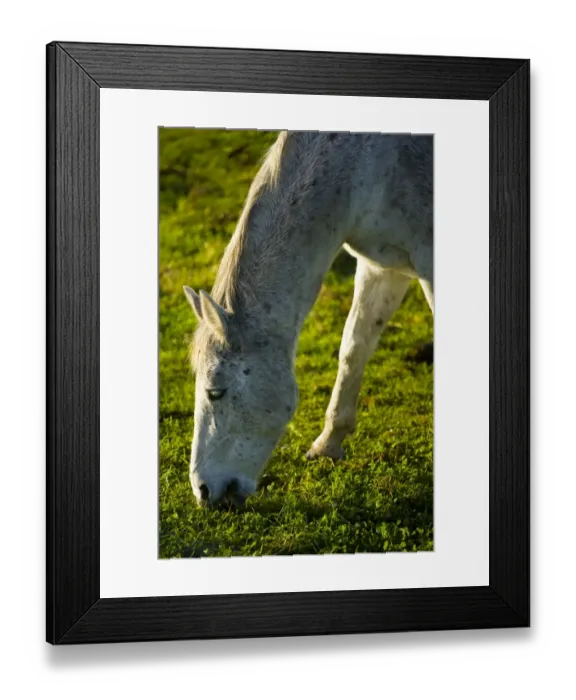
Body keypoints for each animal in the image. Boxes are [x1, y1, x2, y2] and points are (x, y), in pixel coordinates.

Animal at [184, 130, 433, 507]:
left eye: (215, 392)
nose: (203, 491)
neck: (364, 164)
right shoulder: (381, 266)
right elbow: (353, 347)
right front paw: (329, 443)